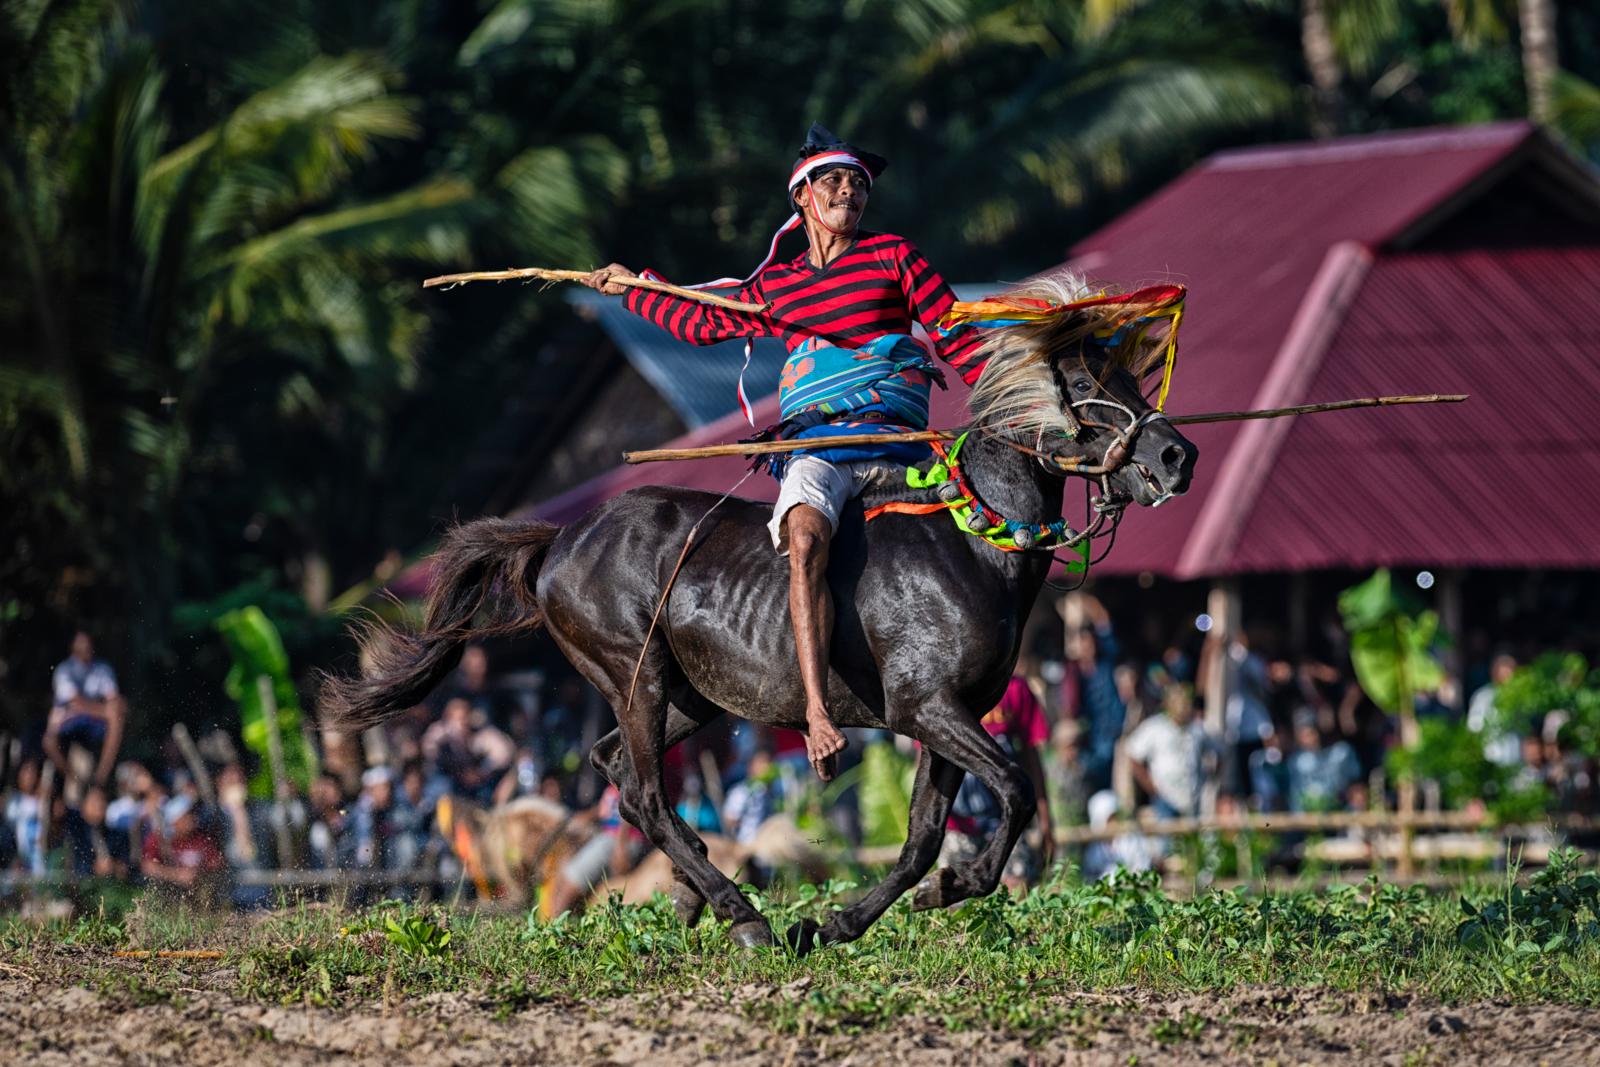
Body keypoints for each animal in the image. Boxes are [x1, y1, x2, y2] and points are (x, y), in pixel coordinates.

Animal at [321, 271, 1199, 953]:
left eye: (1129, 382)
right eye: (1085, 389)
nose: (1177, 455)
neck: (971, 542)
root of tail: (562, 537)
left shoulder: (954, 714)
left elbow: (921, 838)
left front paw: (850, 918)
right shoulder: (925, 706)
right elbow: (1013, 787)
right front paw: (963, 880)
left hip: (689, 696)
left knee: (618, 771)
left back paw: (697, 896)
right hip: (634, 673)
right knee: (643, 792)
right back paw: (739, 912)